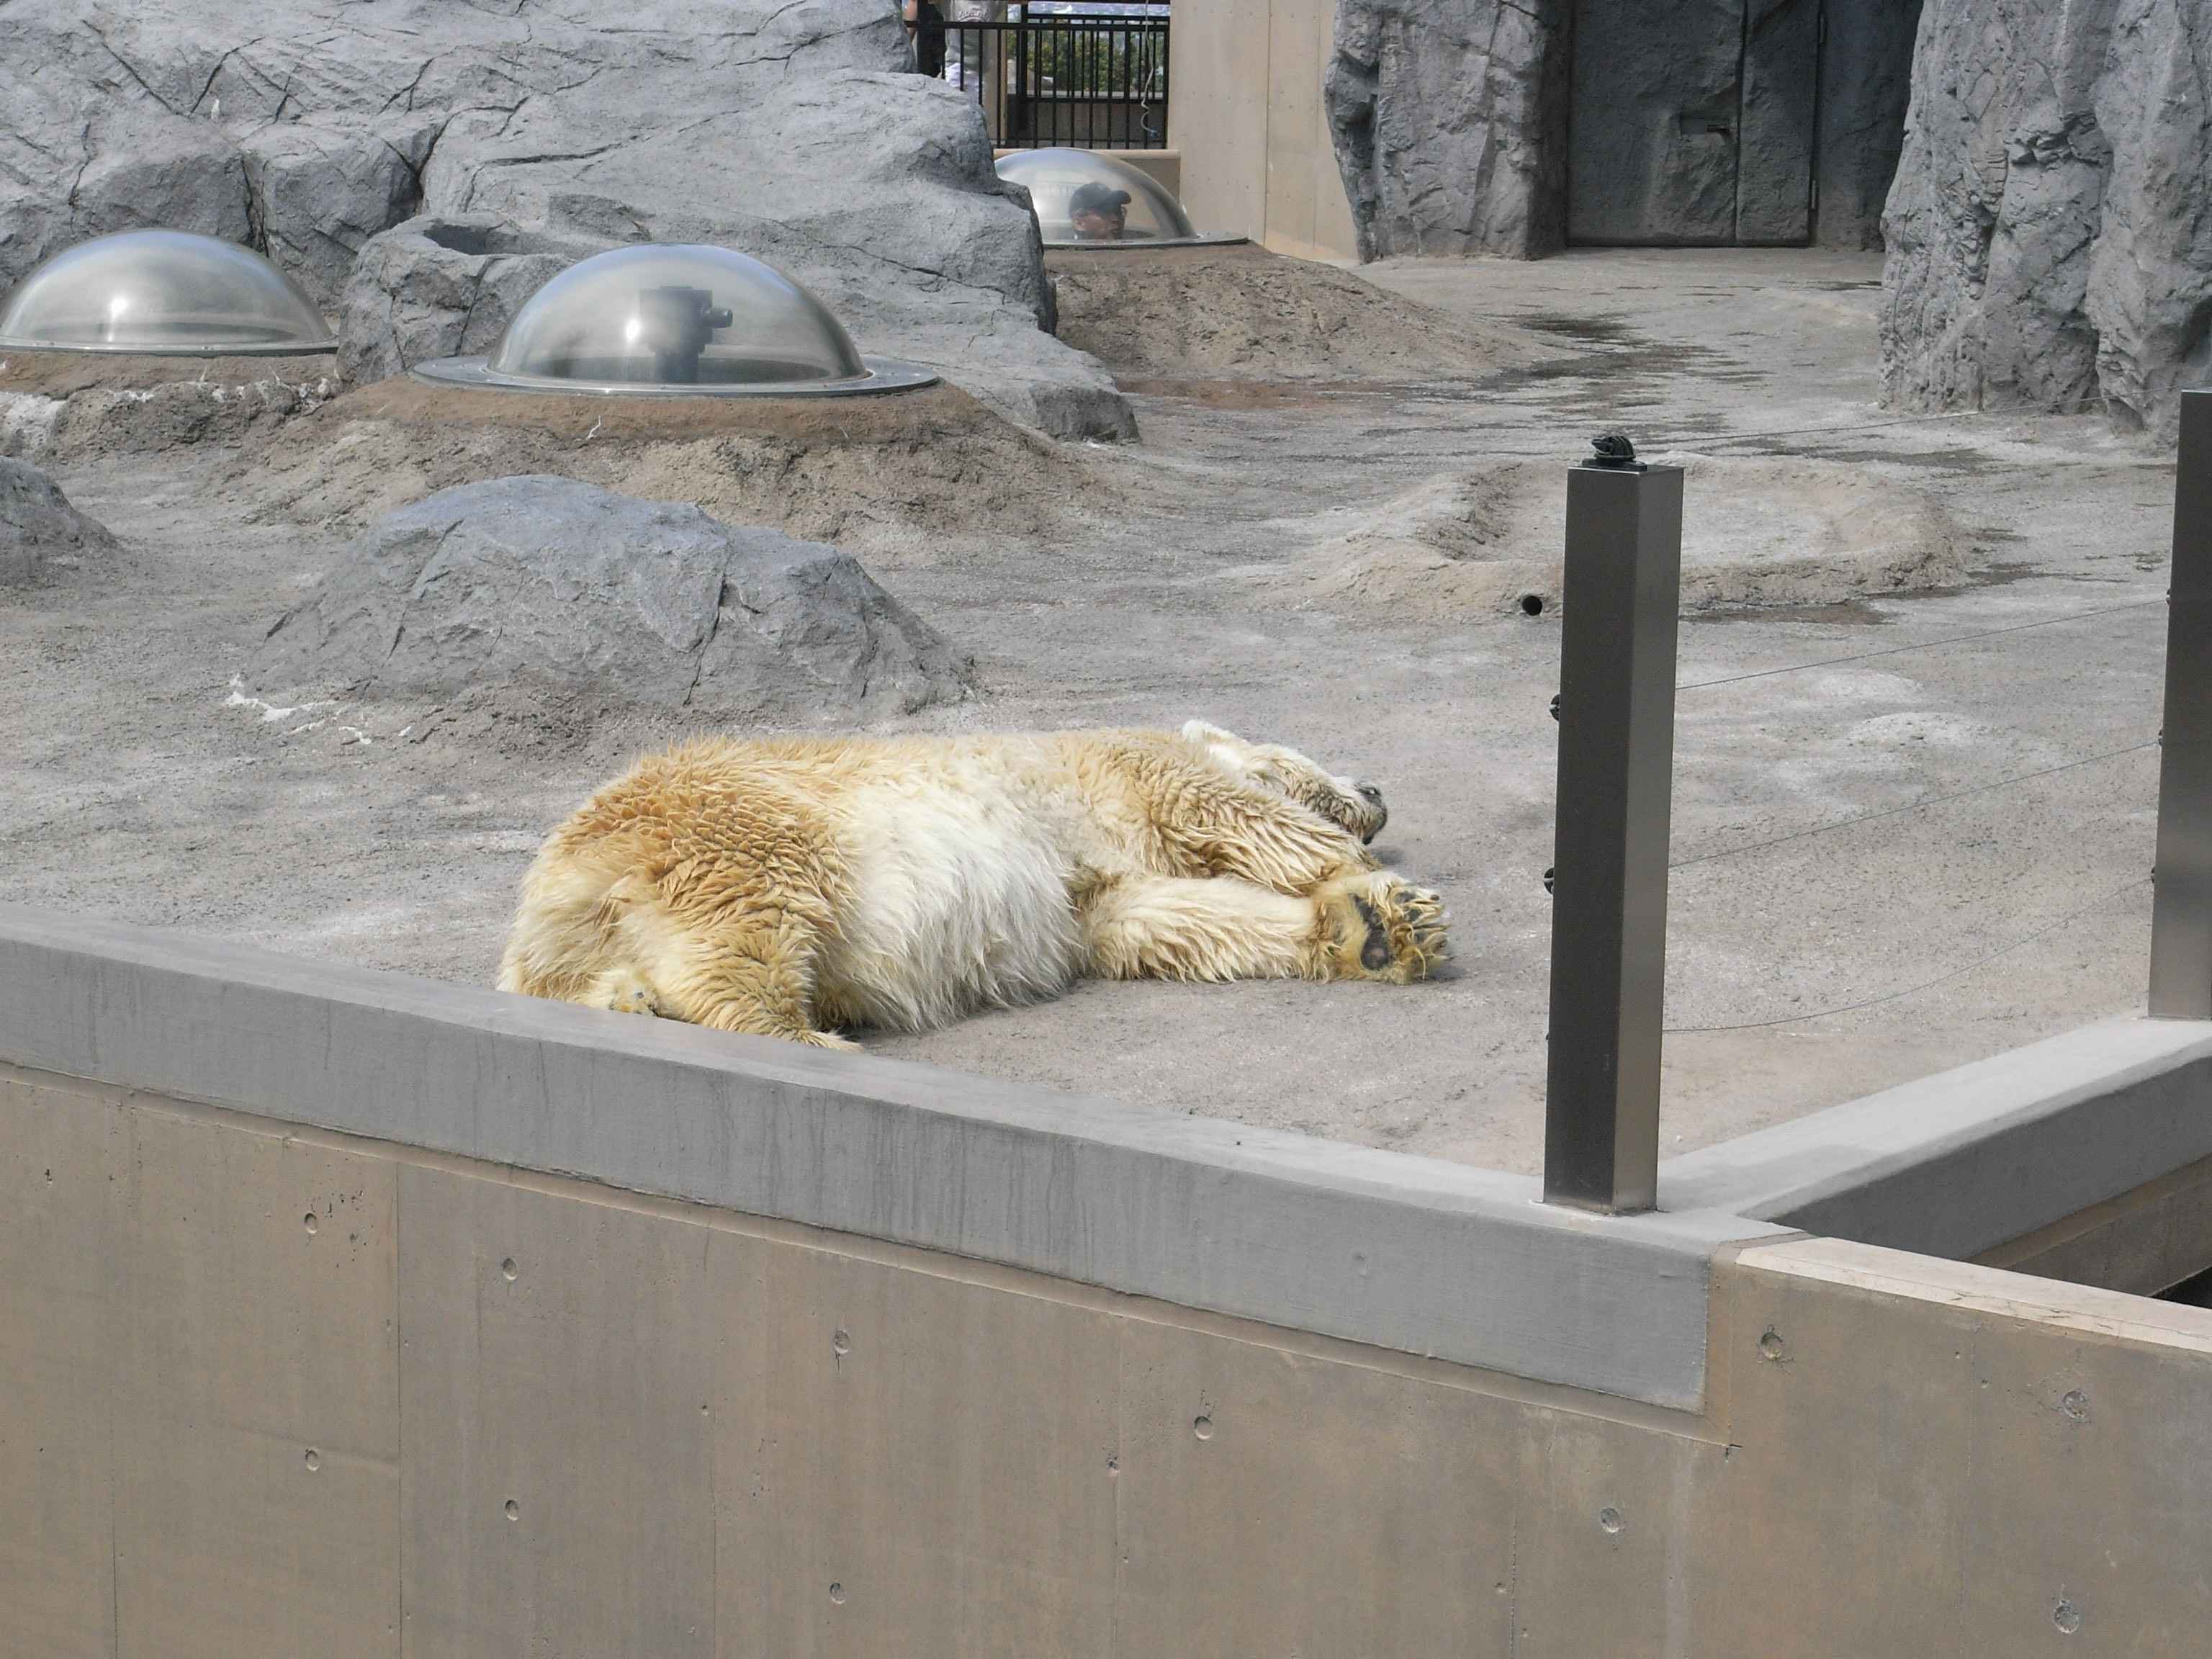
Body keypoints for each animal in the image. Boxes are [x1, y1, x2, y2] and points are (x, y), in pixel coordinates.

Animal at [506, 716, 1451, 1053]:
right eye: (1313, 761)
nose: (1380, 794)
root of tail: (560, 872)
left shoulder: (1099, 893)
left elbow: (1168, 918)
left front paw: (1373, 931)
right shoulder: (1134, 766)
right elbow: (1245, 816)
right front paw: (1375, 880)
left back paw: (629, 1000)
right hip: (745, 822)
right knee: (747, 932)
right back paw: (817, 1043)